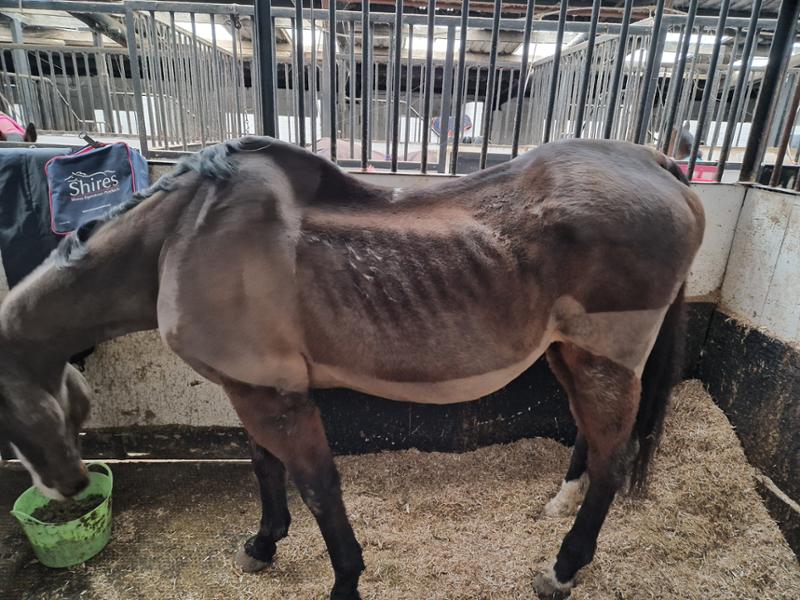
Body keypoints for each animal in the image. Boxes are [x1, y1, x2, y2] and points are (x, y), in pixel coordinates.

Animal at [0, 135, 704, 598]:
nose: (66, 490)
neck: (179, 240)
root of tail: (654, 161)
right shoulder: (250, 387)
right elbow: (266, 467)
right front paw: (263, 544)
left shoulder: (275, 396)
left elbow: (317, 486)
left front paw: (343, 579)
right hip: (569, 355)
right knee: (591, 437)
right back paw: (559, 503)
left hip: (602, 359)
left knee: (614, 459)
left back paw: (562, 568)